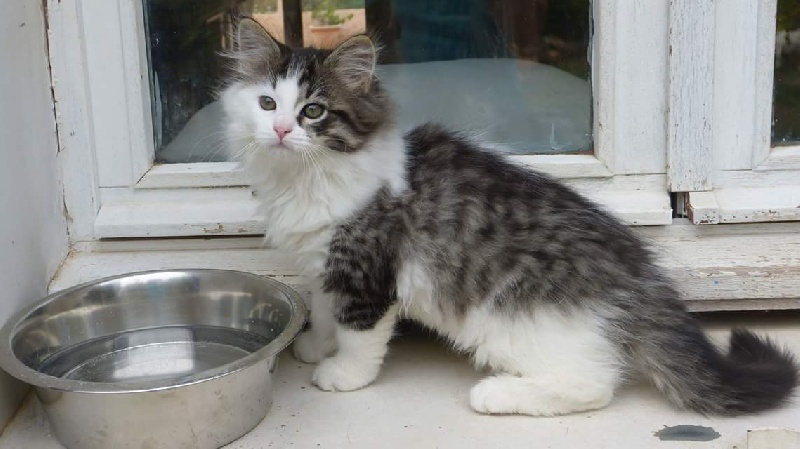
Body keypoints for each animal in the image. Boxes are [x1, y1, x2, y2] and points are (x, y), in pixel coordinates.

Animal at [222, 19, 796, 414]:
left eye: (313, 111)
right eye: (268, 104)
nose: (280, 131)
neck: (306, 179)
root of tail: (638, 278)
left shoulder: (366, 274)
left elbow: (359, 335)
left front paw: (342, 374)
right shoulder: (323, 264)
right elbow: (323, 313)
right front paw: (315, 347)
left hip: (507, 323)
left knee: (595, 384)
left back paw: (495, 394)